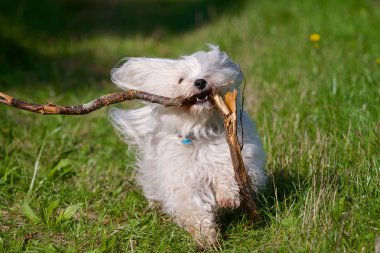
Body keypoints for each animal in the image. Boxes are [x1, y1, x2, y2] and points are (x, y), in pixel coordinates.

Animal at [108, 44, 266, 248]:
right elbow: (193, 206)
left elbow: (227, 173)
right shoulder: (182, 180)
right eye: (181, 79)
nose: (200, 82)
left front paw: (228, 198)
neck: (199, 131)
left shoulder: (234, 154)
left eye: (208, 73)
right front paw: (206, 237)